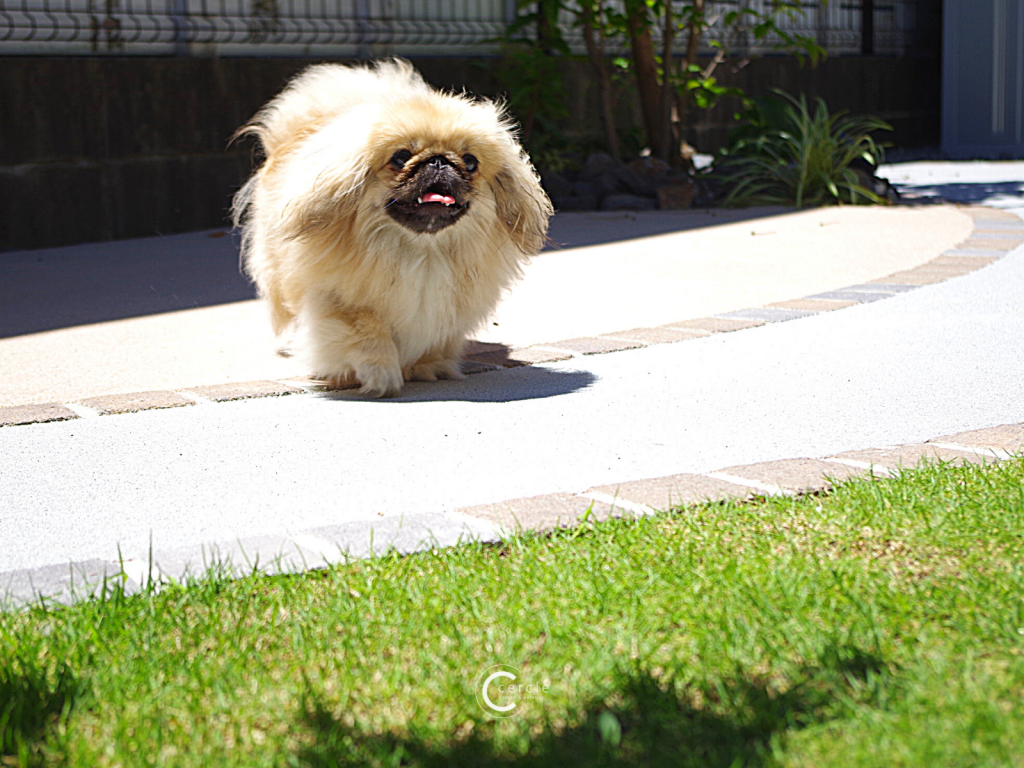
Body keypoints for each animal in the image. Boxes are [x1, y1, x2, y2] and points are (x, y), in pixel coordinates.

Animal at [234, 60, 552, 397]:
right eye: (400, 157)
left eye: (470, 162)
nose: (439, 161)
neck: (422, 252)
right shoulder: (339, 301)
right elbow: (368, 334)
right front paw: (381, 375)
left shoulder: (445, 311)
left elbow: (433, 338)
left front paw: (427, 366)